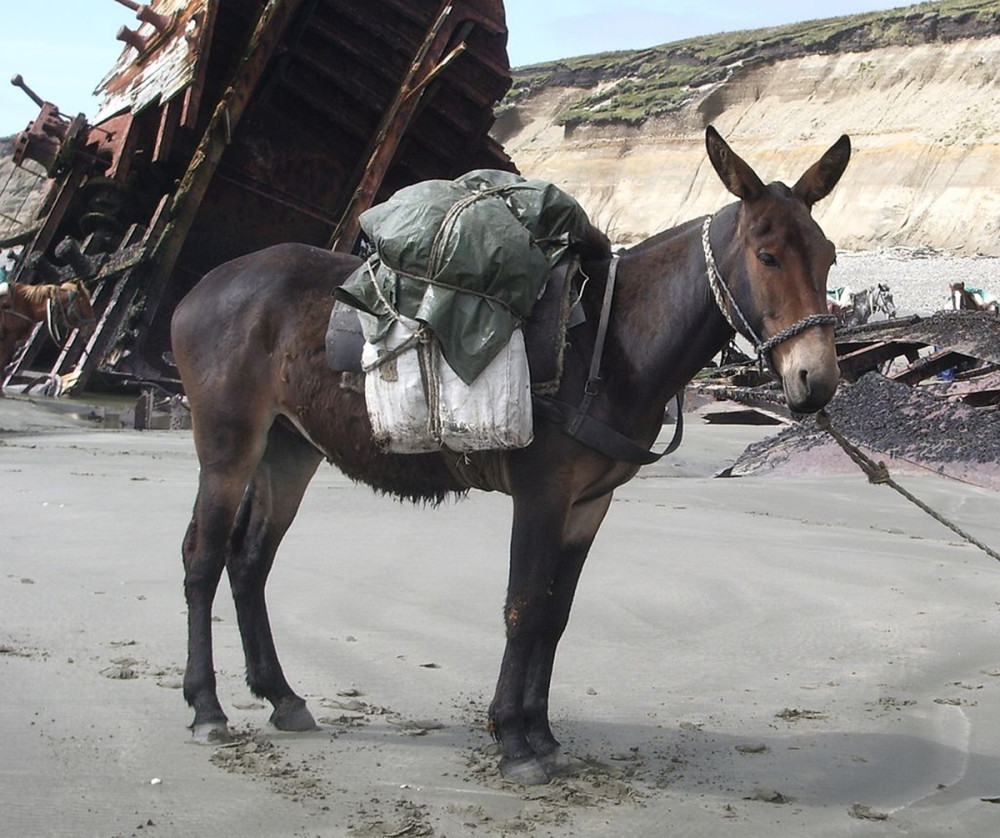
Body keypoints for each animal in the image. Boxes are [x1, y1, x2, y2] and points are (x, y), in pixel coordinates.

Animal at [172, 126, 852, 788]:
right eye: (767, 256)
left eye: (828, 258)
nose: (816, 381)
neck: (610, 343)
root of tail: (202, 287)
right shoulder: (542, 493)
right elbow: (523, 608)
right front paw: (514, 742)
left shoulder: (589, 503)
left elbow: (555, 615)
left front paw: (543, 735)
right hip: (229, 445)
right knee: (203, 557)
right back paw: (207, 708)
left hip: (290, 449)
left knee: (250, 560)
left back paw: (281, 697)